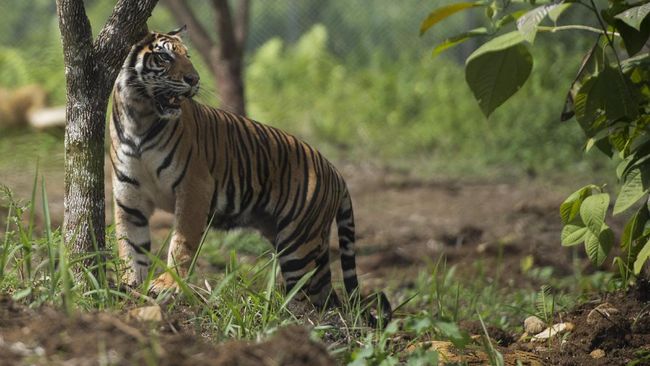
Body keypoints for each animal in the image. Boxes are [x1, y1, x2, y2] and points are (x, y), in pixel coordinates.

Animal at [110, 25, 390, 324]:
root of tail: (335, 170)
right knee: (327, 297)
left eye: (188, 56)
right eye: (164, 57)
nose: (194, 79)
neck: (139, 116)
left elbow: (182, 243)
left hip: (299, 244)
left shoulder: (194, 187)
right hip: (302, 242)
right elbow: (130, 245)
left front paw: (168, 285)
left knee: (311, 295)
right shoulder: (130, 196)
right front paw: (129, 286)